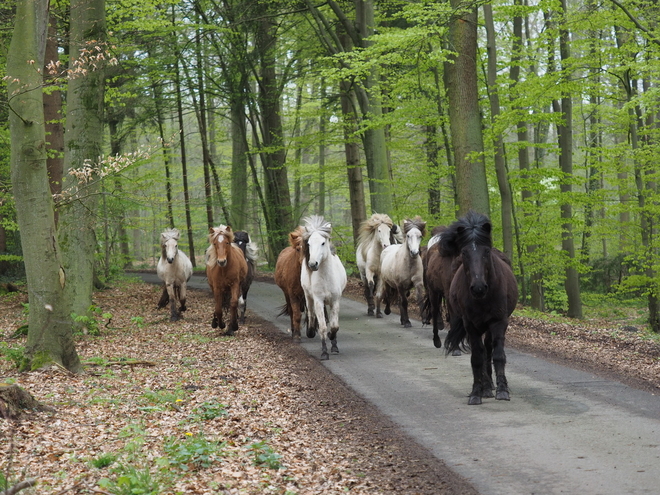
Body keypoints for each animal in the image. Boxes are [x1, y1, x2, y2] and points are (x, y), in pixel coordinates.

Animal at [302, 216, 348, 360]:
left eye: (323, 243)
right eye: (309, 244)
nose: (312, 264)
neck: (326, 278)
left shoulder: (335, 301)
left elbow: (334, 326)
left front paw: (332, 341)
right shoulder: (318, 300)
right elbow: (322, 326)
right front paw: (324, 352)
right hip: (308, 296)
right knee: (311, 313)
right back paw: (311, 331)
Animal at [440, 211, 520, 404]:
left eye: (486, 251)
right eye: (464, 252)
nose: (478, 288)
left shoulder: (498, 322)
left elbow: (498, 355)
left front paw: (502, 390)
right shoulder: (471, 326)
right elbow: (477, 357)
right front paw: (476, 392)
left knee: (489, 349)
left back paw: (490, 385)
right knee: (483, 352)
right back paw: (485, 386)